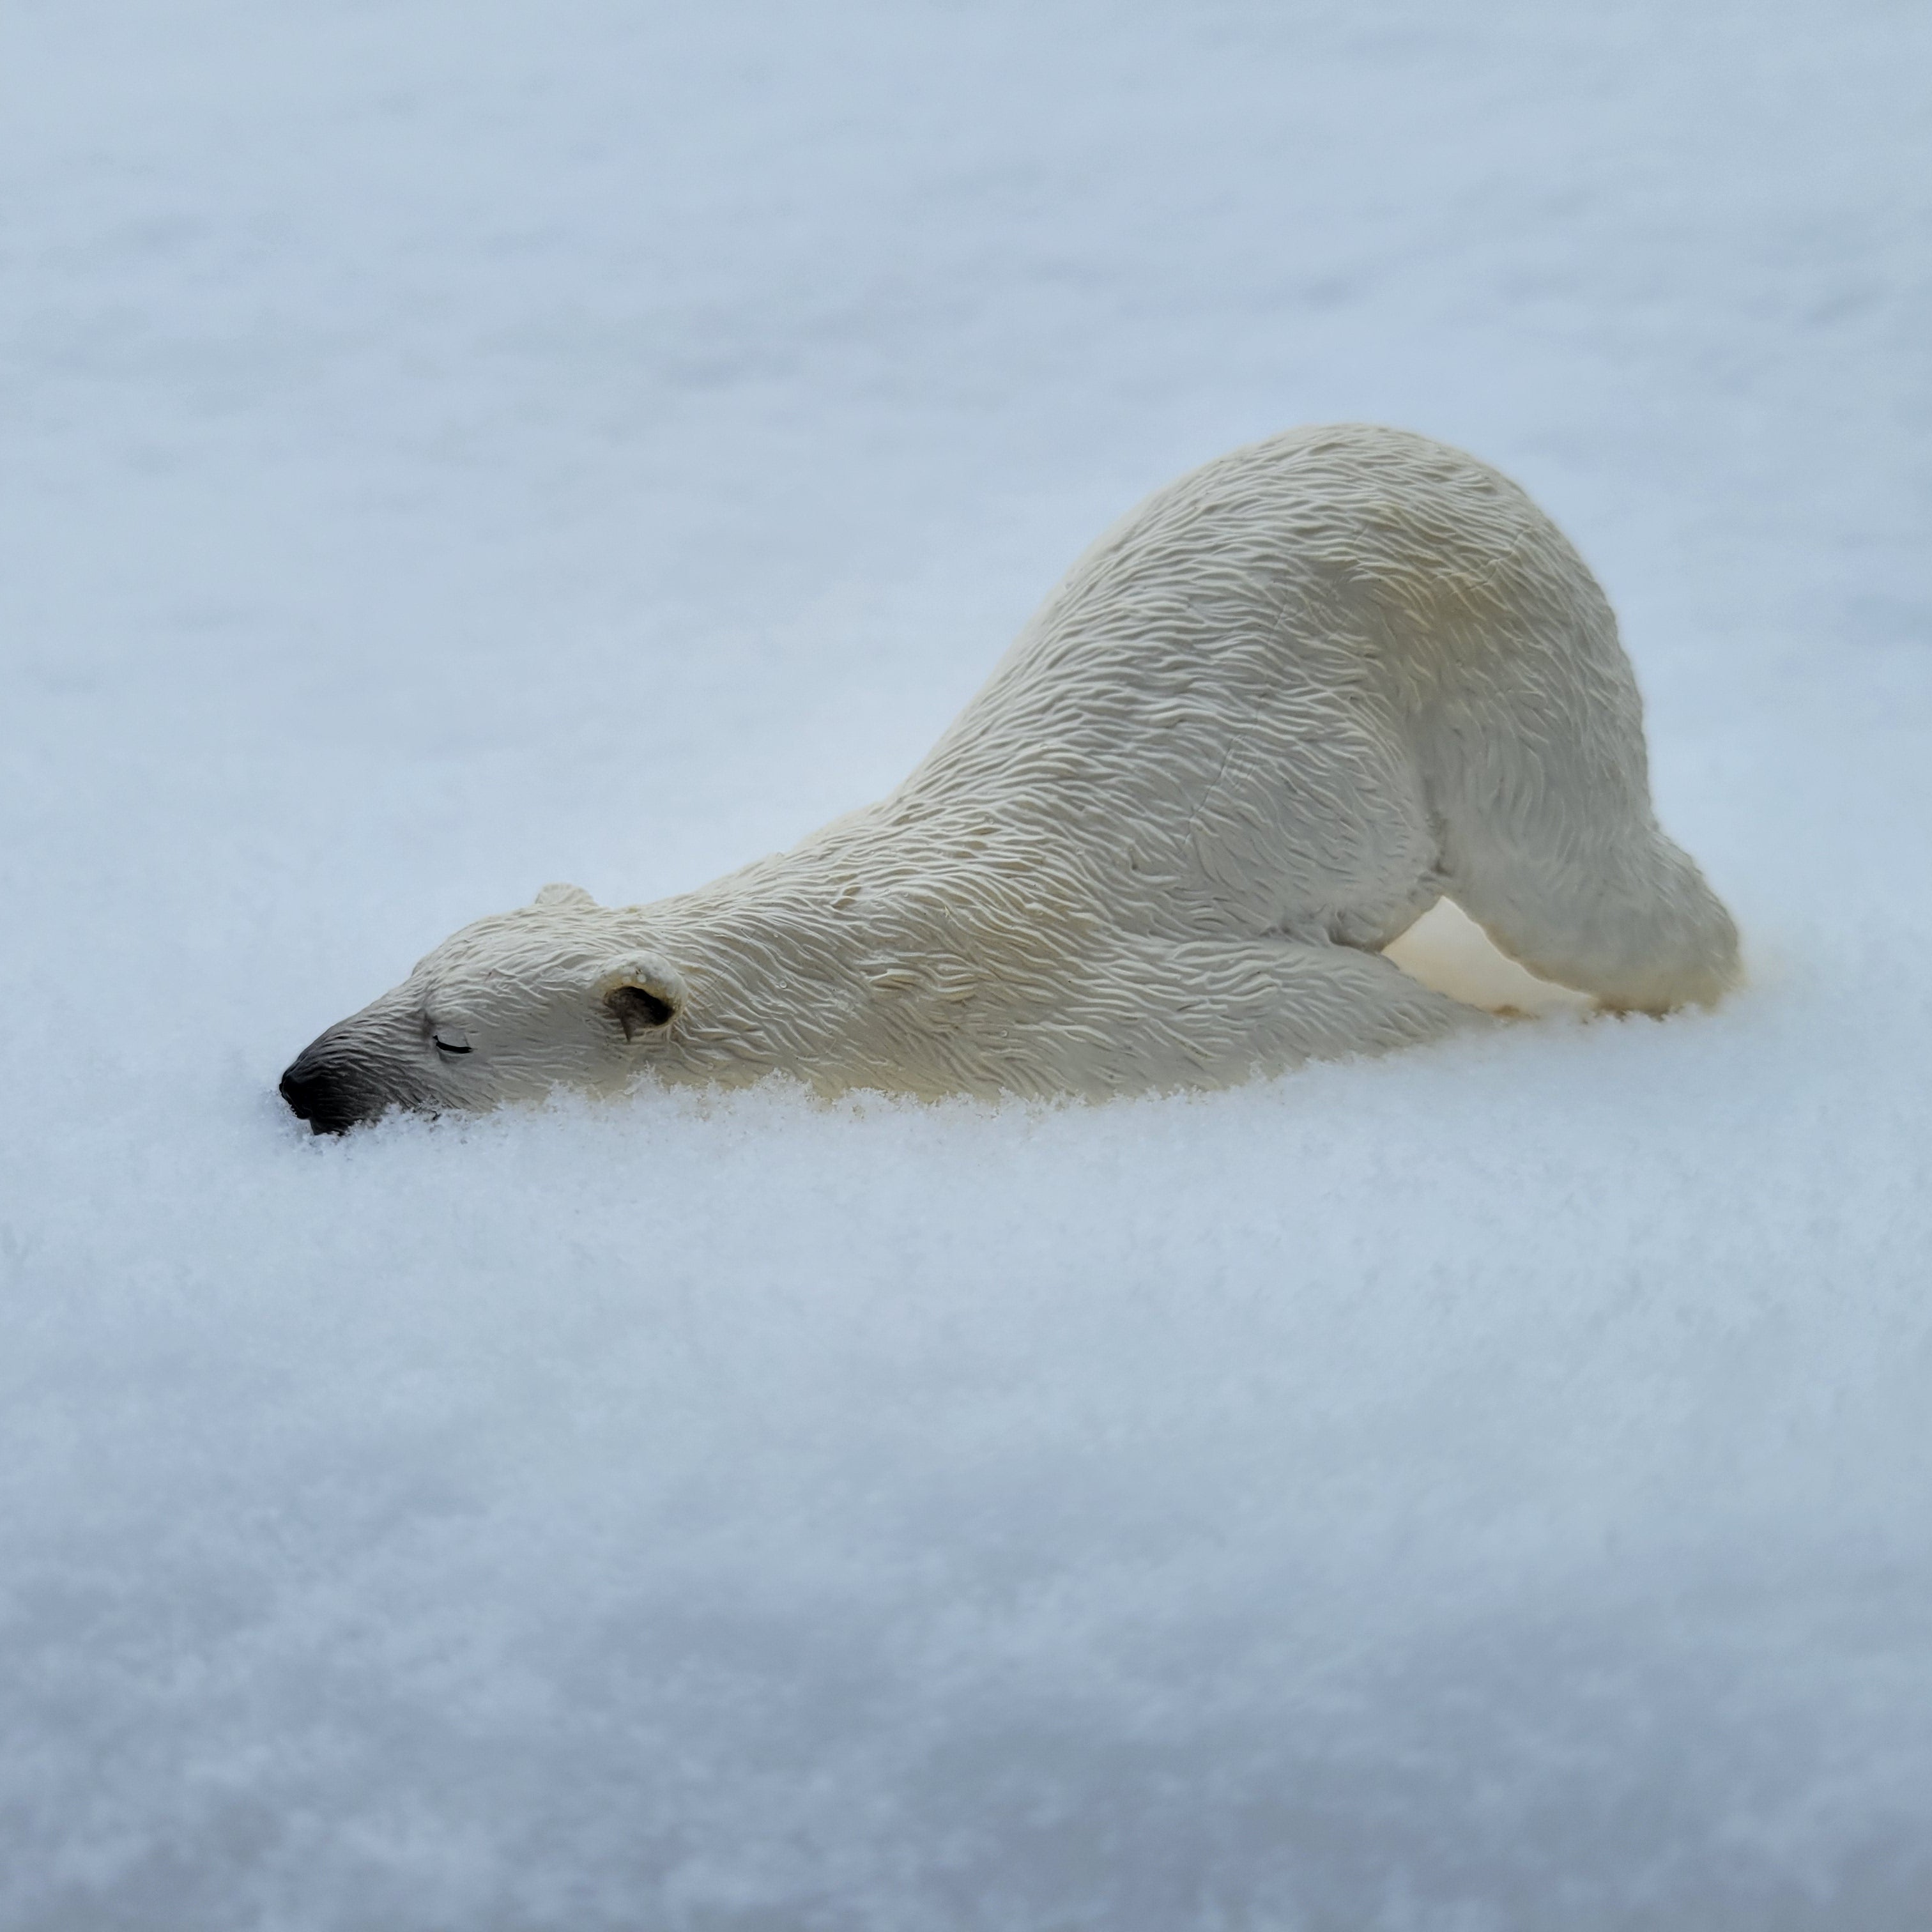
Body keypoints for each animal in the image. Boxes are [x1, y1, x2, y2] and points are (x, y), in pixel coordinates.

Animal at [280, 424, 1739, 1134]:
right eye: (407, 979)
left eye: (452, 1037)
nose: (304, 1083)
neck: (842, 968)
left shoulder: (1050, 1010)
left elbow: (1329, 1008)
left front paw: (1475, 1040)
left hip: (1495, 660)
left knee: (1580, 879)